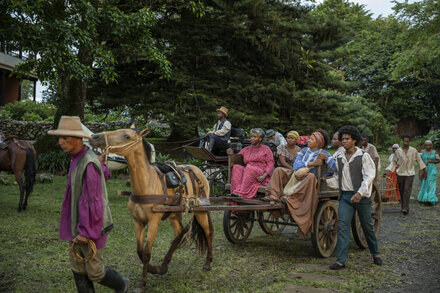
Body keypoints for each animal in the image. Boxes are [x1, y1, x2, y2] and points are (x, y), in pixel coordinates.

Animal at [88, 126, 214, 288]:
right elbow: (139, 251)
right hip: (174, 214)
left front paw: (143, 281)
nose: (94, 137)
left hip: (200, 211)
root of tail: (199, 171)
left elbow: (147, 252)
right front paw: (153, 269)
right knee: (179, 234)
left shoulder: (154, 222)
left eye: (127, 136)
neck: (146, 184)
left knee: (208, 232)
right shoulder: (138, 221)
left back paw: (208, 263)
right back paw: (164, 266)